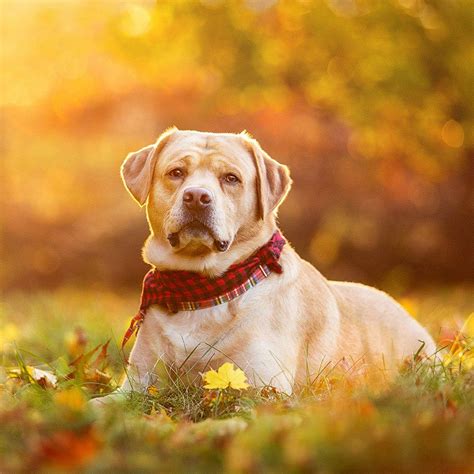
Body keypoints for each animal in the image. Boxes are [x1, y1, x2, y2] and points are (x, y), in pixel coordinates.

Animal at [97, 126, 436, 400]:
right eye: (176, 173)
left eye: (231, 178)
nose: (196, 197)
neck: (200, 286)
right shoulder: (137, 385)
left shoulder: (263, 388)